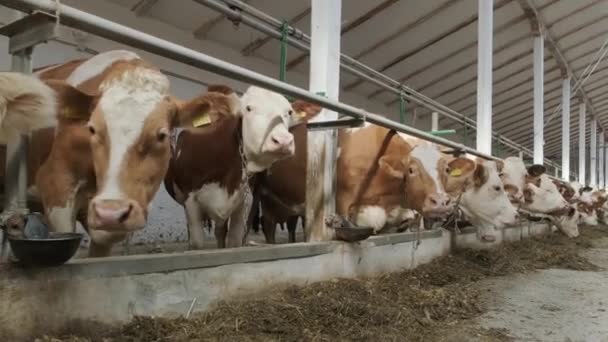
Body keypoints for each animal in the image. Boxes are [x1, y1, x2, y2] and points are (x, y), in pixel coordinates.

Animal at [164, 83, 296, 248]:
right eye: (248, 108)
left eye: (289, 112)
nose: (283, 140)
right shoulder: (190, 199)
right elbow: (197, 243)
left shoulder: (244, 202)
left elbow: (234, 241)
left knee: (220, 232)